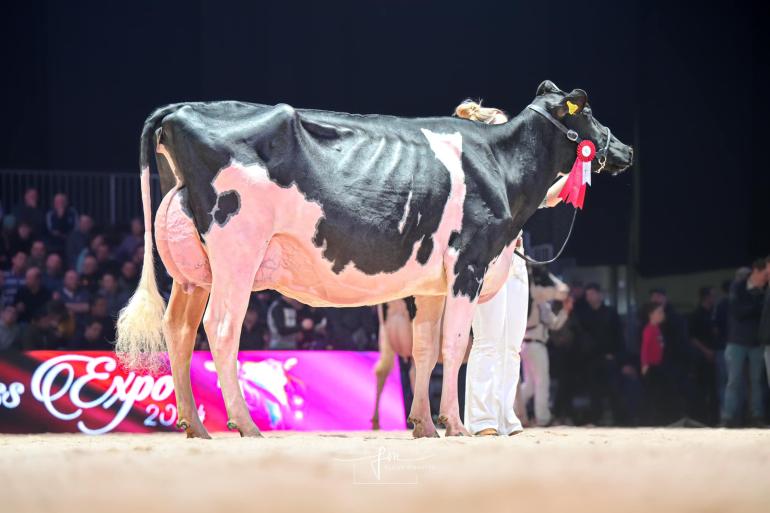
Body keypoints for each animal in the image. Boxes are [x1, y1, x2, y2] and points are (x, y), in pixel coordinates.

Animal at [114, 79, 632, 436]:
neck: (500, 166)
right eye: (588, 111)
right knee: (222, 328)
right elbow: (453, 346)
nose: (625, 149)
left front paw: (424, 425)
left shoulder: (430, 284)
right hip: (237, 253)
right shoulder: (468, 264)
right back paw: (246, 425)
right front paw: (456, 425)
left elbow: (424, 351)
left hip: (193, 271)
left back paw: (195, 426)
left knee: (179, 330)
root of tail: (182, 108)